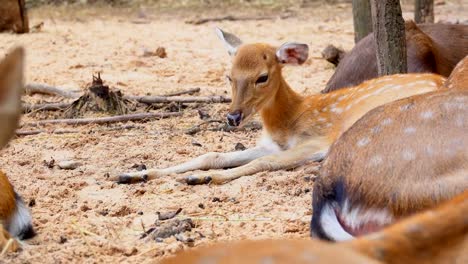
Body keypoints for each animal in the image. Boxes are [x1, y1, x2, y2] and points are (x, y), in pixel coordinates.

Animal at [113, 27, 446, 185]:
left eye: (262, 77)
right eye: (228, 75)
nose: (232, 117)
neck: (288, 122)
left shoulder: (317, 140)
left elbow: (265, 164)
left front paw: (203, 178)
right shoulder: (270, 144)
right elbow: (212, 154)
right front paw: (133, 173)